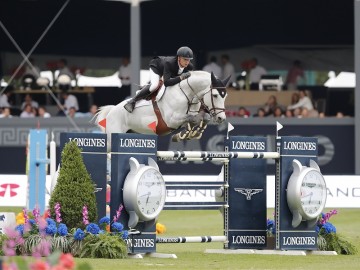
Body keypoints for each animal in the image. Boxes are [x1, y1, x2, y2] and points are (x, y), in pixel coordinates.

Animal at [93, 70, 228, 148]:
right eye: (215, 95)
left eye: (225, 96)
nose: (221, 118)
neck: (187, 93)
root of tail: (111, 111)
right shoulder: (172, 120)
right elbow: (193, 119)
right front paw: (186, 134)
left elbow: (202, 118)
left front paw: (188, 134)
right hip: (113, 137)